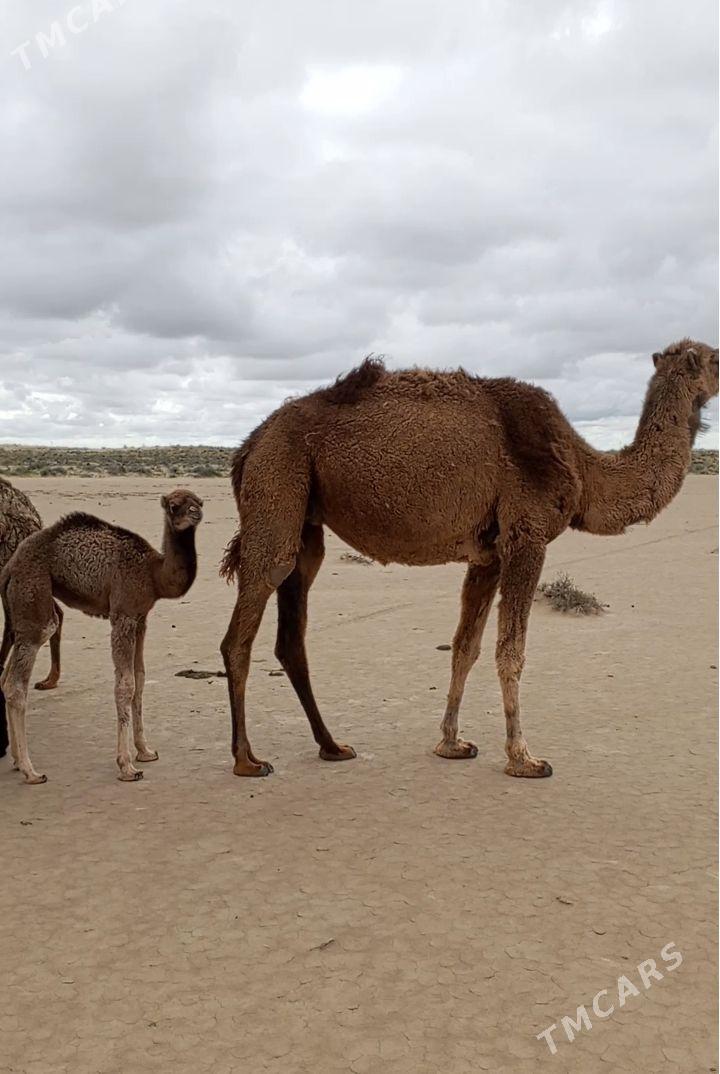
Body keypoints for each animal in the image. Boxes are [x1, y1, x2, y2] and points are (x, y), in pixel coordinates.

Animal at [219, 339, 718, 779]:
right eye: (717, 357)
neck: (584, 468)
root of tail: (250, 444)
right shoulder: (527, 536)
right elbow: (510, 651)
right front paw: (524, 758)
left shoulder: (488, 555)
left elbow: (466, 647)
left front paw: (452, 743)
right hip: (276, 482)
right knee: (239, 633)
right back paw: (247, 760)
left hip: (305, 521)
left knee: (291, 632)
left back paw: (332, 746)